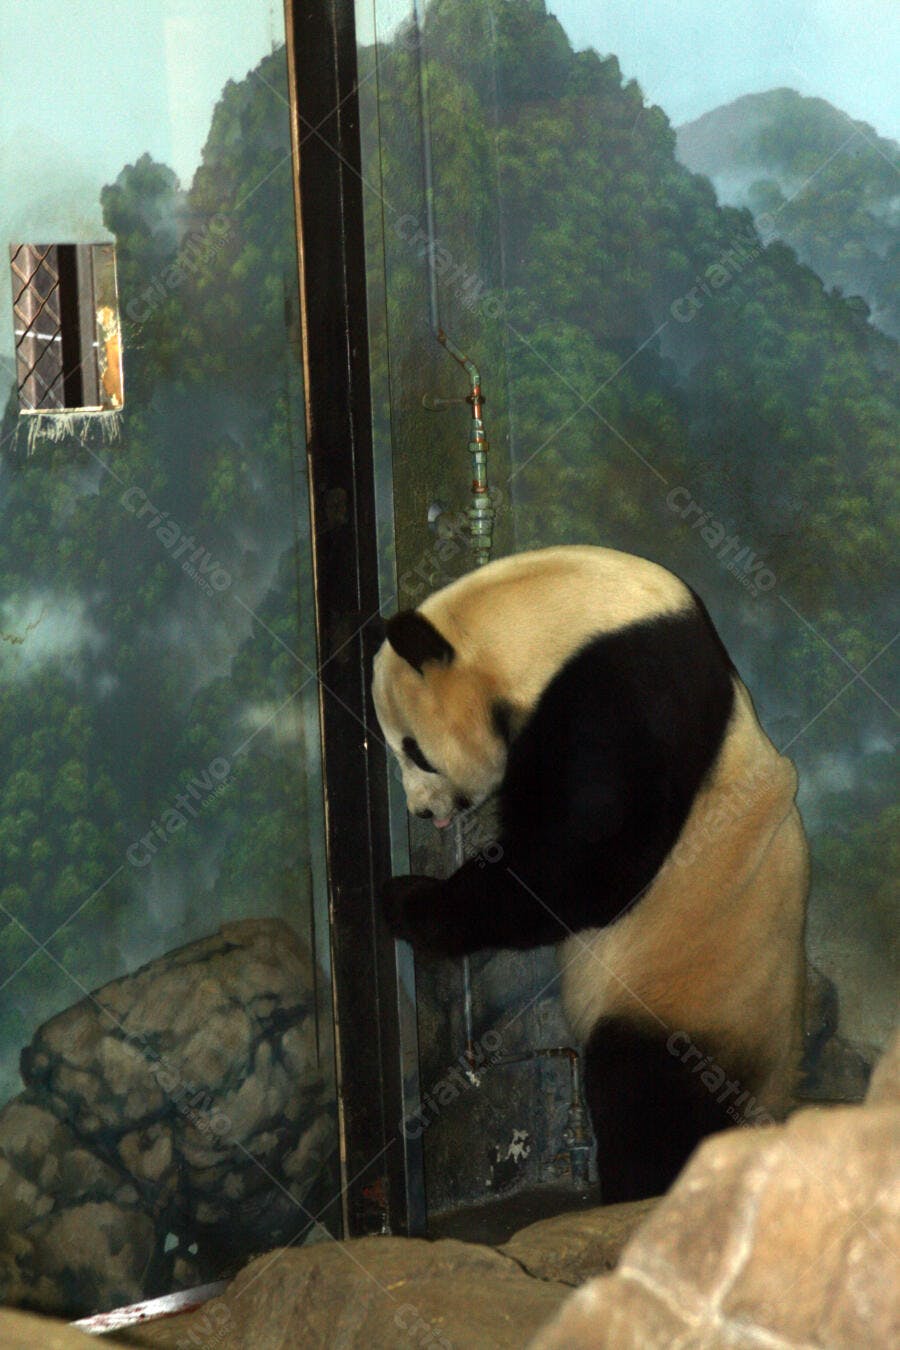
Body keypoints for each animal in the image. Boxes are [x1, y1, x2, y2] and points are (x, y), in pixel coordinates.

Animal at [372, 545, 809, 1202]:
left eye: (413, 749)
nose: (423, 813)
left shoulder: (620, 692)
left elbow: (584, 866)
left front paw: (407, 903)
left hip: (693, 998)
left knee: (646, 1093)